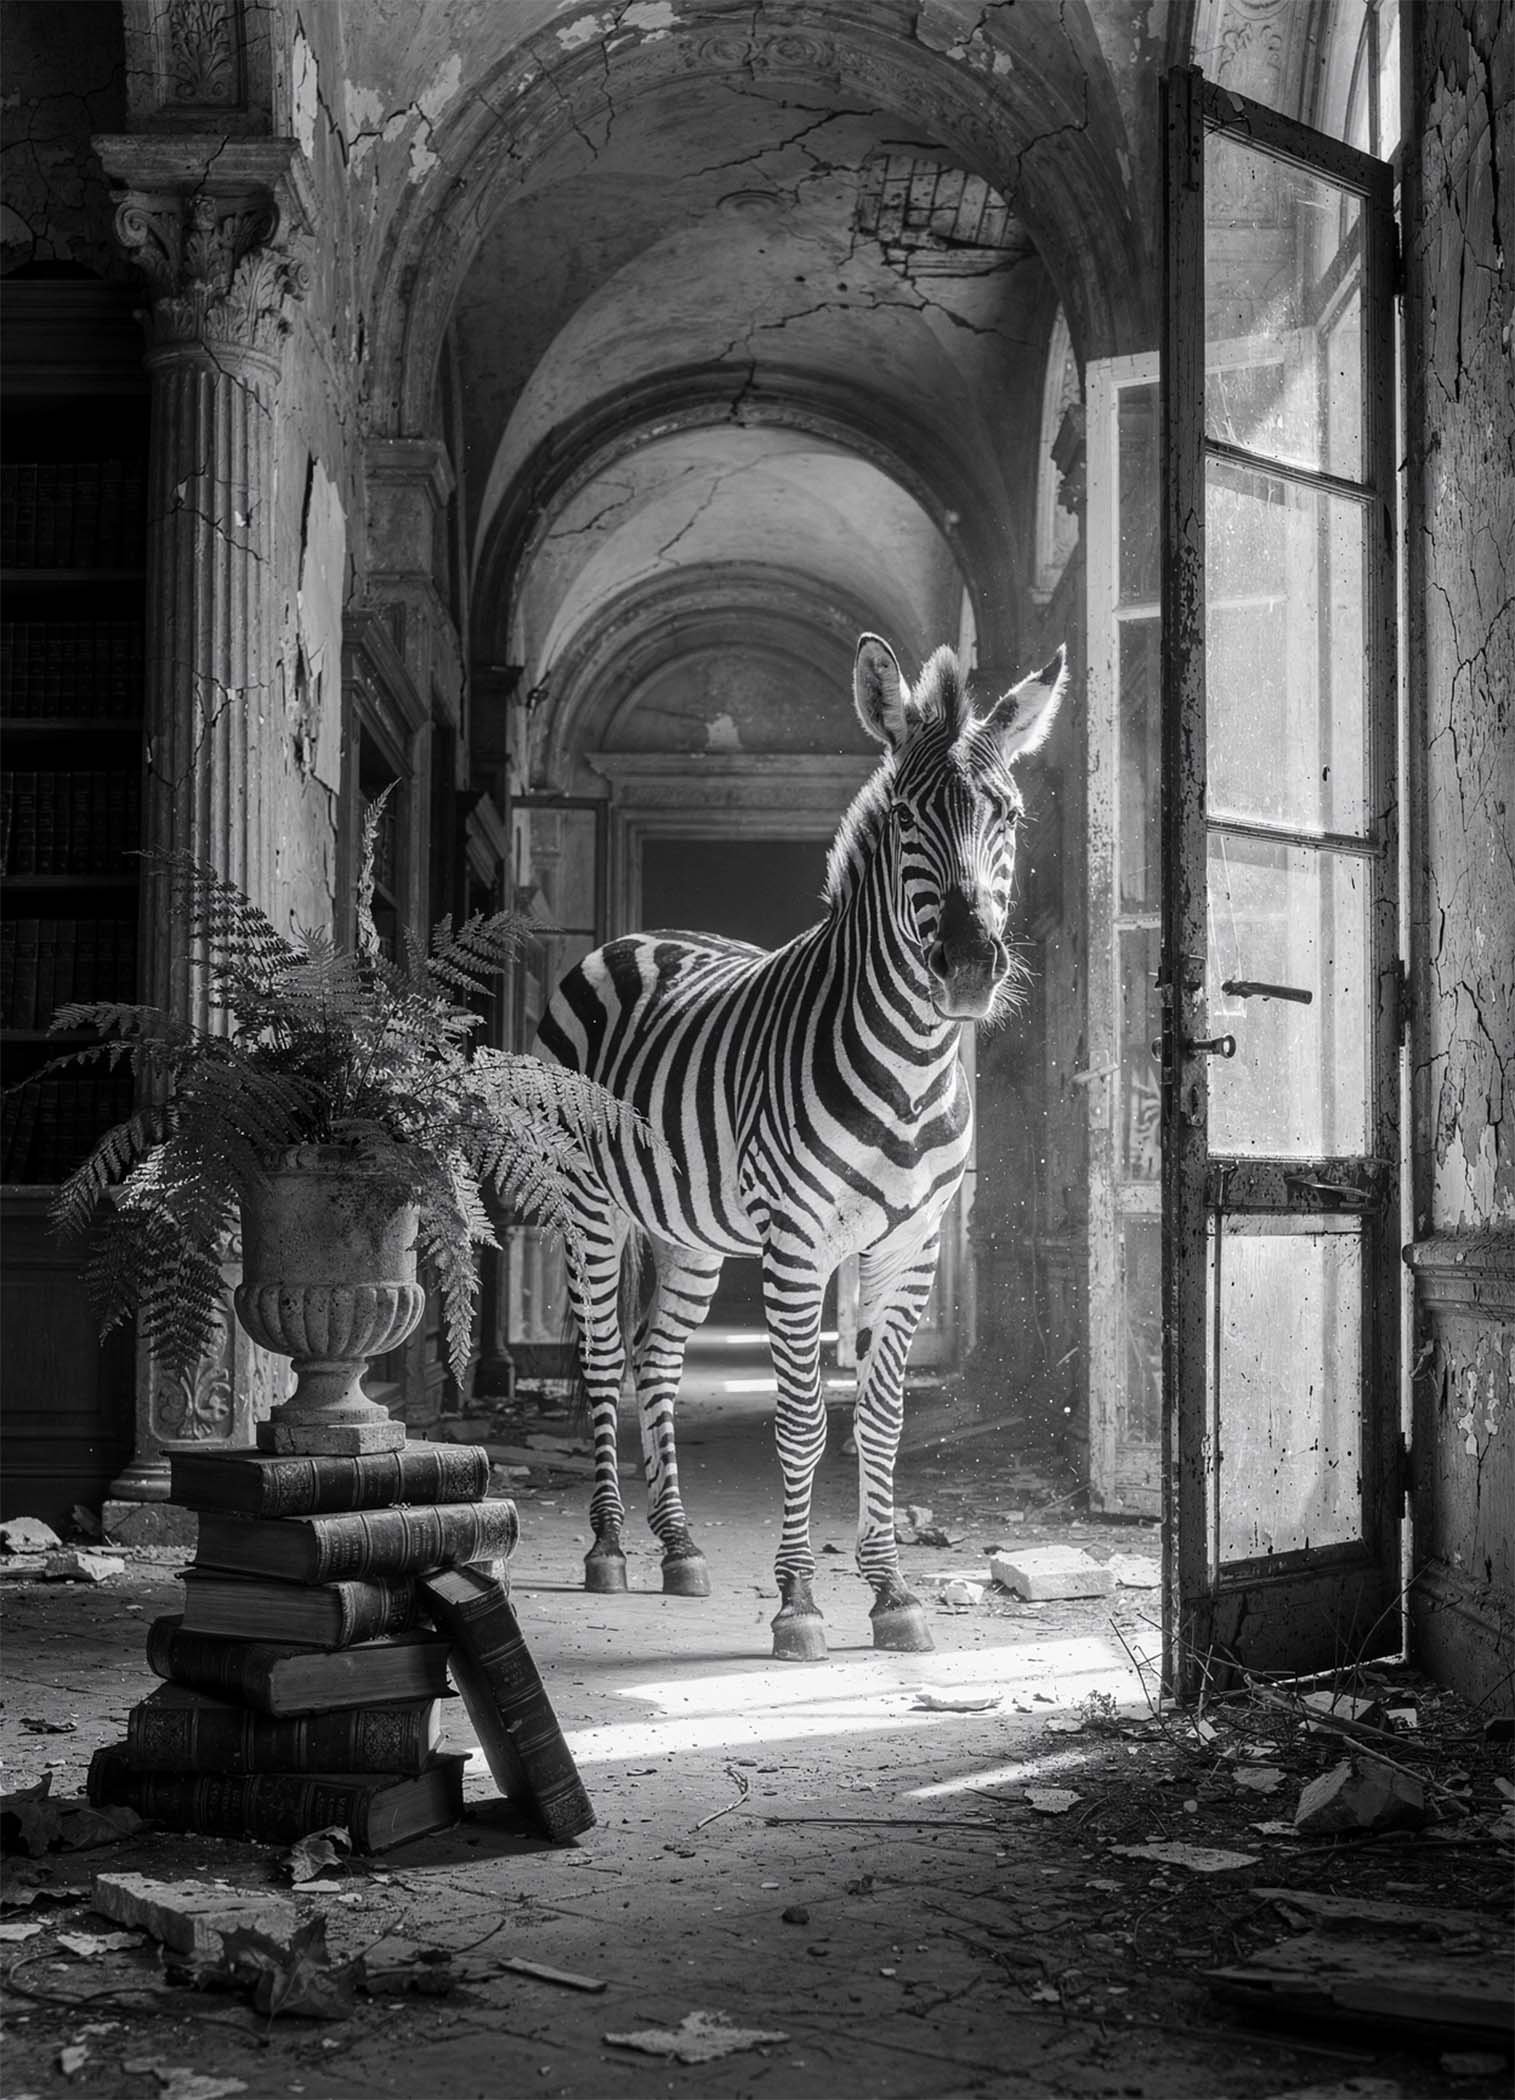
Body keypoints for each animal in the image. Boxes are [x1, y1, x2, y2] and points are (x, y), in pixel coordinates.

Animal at [537, 631, 1068, 1660]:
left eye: (1011, 817)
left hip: (689, 1233)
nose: (969, 968)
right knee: (601, 1359)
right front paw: (797, 1603)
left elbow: (880, 1419)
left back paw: (678, 1548)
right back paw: (610, 1547)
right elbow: (799, 1422)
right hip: (590, 1210)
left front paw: (891, 1594)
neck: (912, 1069)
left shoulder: (910, 1243)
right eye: (904, 817)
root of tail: (639, 936)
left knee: (657, 1362)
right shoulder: (796, 1243)